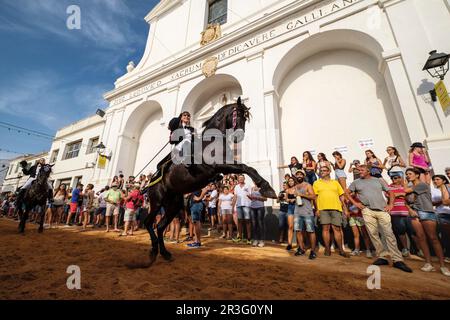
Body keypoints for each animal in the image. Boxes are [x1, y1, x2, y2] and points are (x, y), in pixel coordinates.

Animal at [143, 97, 278, 264]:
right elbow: (247, 167)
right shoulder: (220, 165)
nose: (239, 136)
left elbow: (247, 168)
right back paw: (154, 250)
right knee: (149, 223)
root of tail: (151, 182)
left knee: (160, 226)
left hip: (173, 205)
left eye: (246, 117)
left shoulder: (225, 167)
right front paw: (267, 188)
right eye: (238, 114)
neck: (212, 141)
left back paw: (164, 252)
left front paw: (267, 188)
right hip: (157, 201)